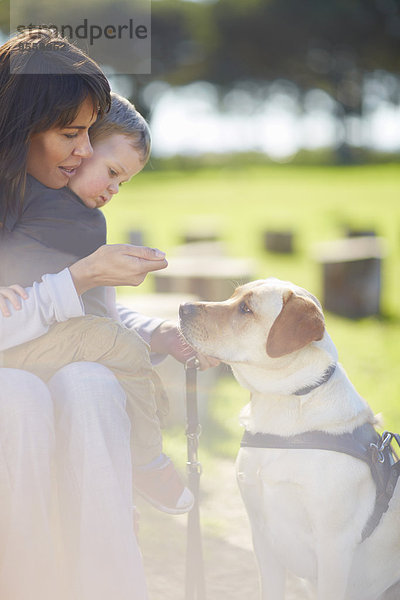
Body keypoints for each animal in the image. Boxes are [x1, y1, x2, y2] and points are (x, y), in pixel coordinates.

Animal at [180, 278, 400, 600]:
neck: (282, 403)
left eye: (246, 309)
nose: (182, 307)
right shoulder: (260, 535)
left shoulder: (334, 546)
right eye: (233, 296)